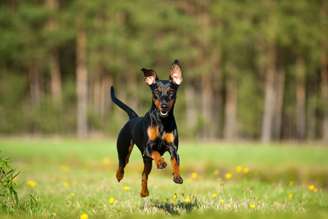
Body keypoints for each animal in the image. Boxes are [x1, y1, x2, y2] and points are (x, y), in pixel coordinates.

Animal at [109, 59, 182, 197]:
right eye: (156, 91)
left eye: (171, 92)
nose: (164, 106)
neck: (161, 122)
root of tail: (133, 117)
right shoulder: (147, 148)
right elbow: (156, 153)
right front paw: (161, 162)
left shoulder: (173, 148)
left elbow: (175, 161)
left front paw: (177, 176)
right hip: (124, 150)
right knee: (121, 165)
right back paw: (119, 176)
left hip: (146, 161)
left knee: (144, 175)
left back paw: (144, 192)